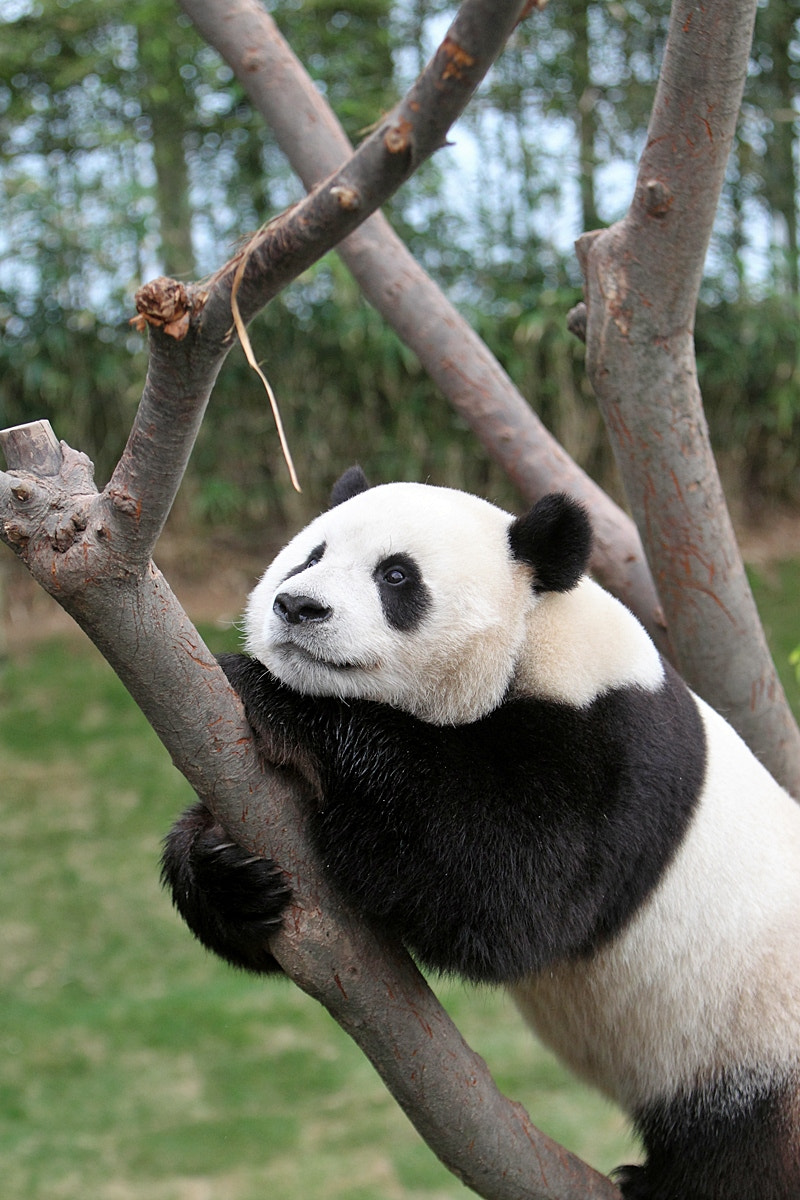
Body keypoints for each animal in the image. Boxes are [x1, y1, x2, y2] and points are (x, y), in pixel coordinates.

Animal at [162, 466, 800, 1200]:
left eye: (397, 576)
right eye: (310, 555)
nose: (296, 606)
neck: (535, 634)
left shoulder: (613, 753)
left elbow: (506, 885)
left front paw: (271, 693)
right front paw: (228, 871)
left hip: (756, 1048)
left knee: (746, 1146)